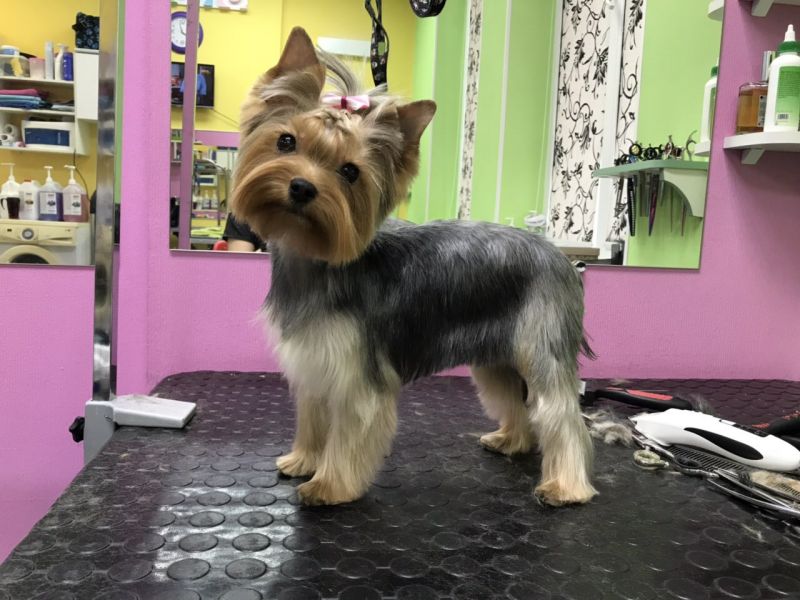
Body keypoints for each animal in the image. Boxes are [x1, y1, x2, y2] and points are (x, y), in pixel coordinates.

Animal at [231, 27, 597, 507]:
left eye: (350, 172)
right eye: (286, 142)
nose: (302, 187)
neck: (316, 262)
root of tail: (560, 257)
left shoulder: (358, 376)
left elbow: (348, 433)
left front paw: (329, 485)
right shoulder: (314, 365)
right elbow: (312, 419)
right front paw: (303, 460)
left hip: (541, 345)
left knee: (560, 413)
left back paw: (565, 487)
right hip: (496, 355)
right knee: (514, 398)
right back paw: (511, 440)